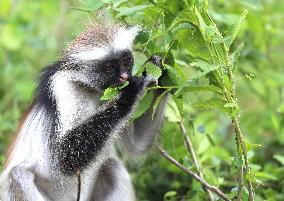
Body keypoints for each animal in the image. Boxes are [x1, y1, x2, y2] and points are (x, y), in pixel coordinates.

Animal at [0, 20, 166, 201]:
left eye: (127, 60)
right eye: (110, 67)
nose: (124, 77)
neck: (92, 90)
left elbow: (137, 145)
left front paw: (160, 71)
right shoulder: (63, 86)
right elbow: (65, 157)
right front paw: (129, 93)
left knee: (113, 166)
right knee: (18, 174)